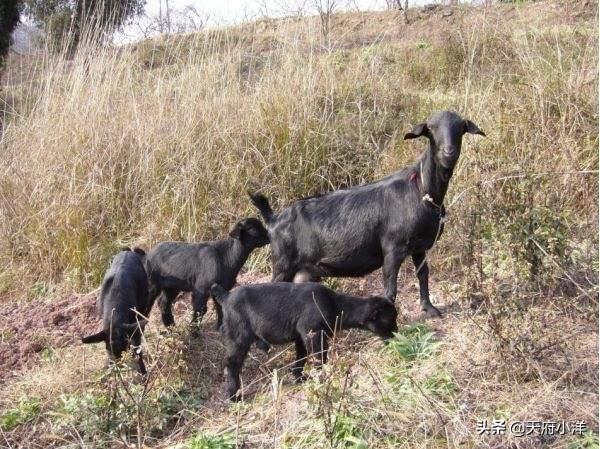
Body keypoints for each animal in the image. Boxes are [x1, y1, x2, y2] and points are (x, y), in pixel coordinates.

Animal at [251, 111, 486, 316]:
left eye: (460, 128)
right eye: (431, 128)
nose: (448, 152)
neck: (422, 189)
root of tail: (273, 220)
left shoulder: (420, 247)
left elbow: (423, 274)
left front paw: (429, 309)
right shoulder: (392, 247)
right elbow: (390, 287)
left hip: (303, 272)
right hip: (282, 265)